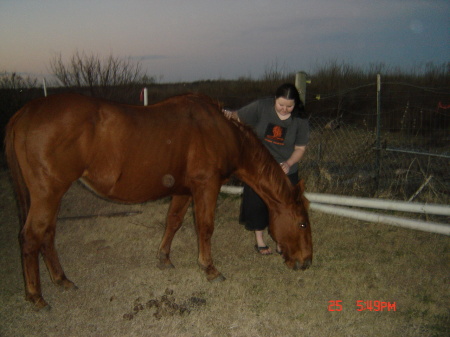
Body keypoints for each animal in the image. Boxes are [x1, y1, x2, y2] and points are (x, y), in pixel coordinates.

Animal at [4, 92, 312, 308]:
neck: (221, 131)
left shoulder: (184, 190)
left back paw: (61, 280)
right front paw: (210, 269)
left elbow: (173, 221)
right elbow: (205, 228)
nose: (306, 262)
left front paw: (164, 258)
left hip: (51, 195)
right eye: (301, 224)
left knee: (47, 235)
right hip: (47, 193)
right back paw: (37, 297)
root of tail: (24, 113)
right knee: (31, 237)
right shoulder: (206, 187)